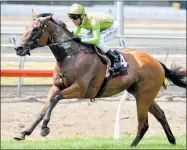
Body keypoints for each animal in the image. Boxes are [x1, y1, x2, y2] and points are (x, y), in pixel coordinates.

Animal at [13, 11, 186, 147]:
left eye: (35, 29)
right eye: (26, 28)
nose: (18, 48)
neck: (71, 55)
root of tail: (156, 61)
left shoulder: (81, 89)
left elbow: (56, 98)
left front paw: (44, 128)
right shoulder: (56, 86)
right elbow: (45, 107)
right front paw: (24, 132)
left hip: (144, 95)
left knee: (143, 122)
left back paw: (133, 144)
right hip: (141, 93)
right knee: (160, 114)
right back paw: (171, 140)